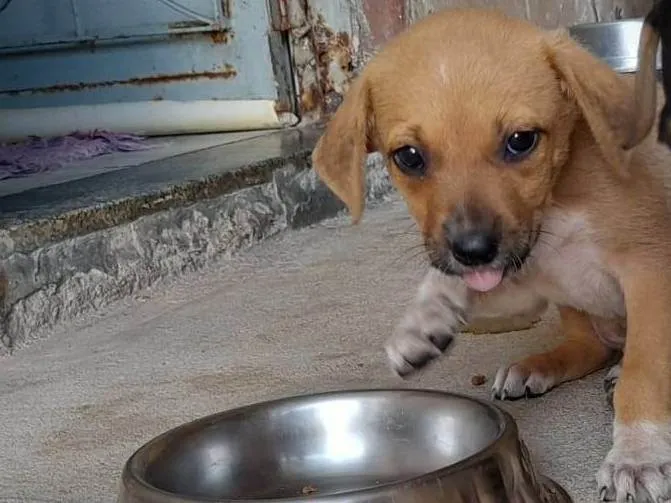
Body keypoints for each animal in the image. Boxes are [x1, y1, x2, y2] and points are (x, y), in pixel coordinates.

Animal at [312, 7, 671, 503]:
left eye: (521, 140)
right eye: (408, 157)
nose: (473, 251)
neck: (556, 203)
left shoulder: (650, 270)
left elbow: (645, 370)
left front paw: (638, 455)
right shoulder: (527, 273)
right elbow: (452, 282)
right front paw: (422, 322)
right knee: (590, 344)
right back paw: (538, 364)